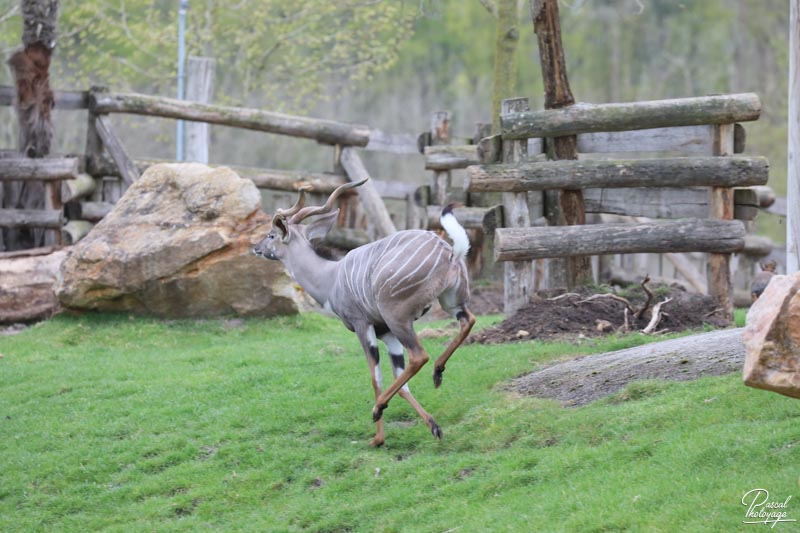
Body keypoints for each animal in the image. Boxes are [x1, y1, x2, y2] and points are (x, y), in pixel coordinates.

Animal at [252, 179, 476, 444]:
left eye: (271, 234)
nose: (255, 248)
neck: (331, 277)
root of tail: (449, 251)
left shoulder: (363, 326)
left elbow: (375, 377)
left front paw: (378, 437)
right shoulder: (386, 333)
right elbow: (400, 382)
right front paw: (433, 426)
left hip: (398, 317)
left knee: (419, 355)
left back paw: (380, 406)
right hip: (450, 303)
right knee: (467, 321)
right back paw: (438, 373)